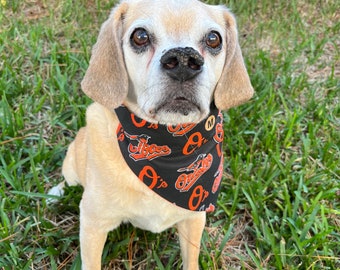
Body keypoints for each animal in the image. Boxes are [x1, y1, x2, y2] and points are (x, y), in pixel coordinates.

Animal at [49, 0, 254, 268]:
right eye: (140, 36)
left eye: (213, 39)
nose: (183, 60)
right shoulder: (93, 223)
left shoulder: (194, 219)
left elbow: (191, 260)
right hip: (73, 163)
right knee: (67, 179)